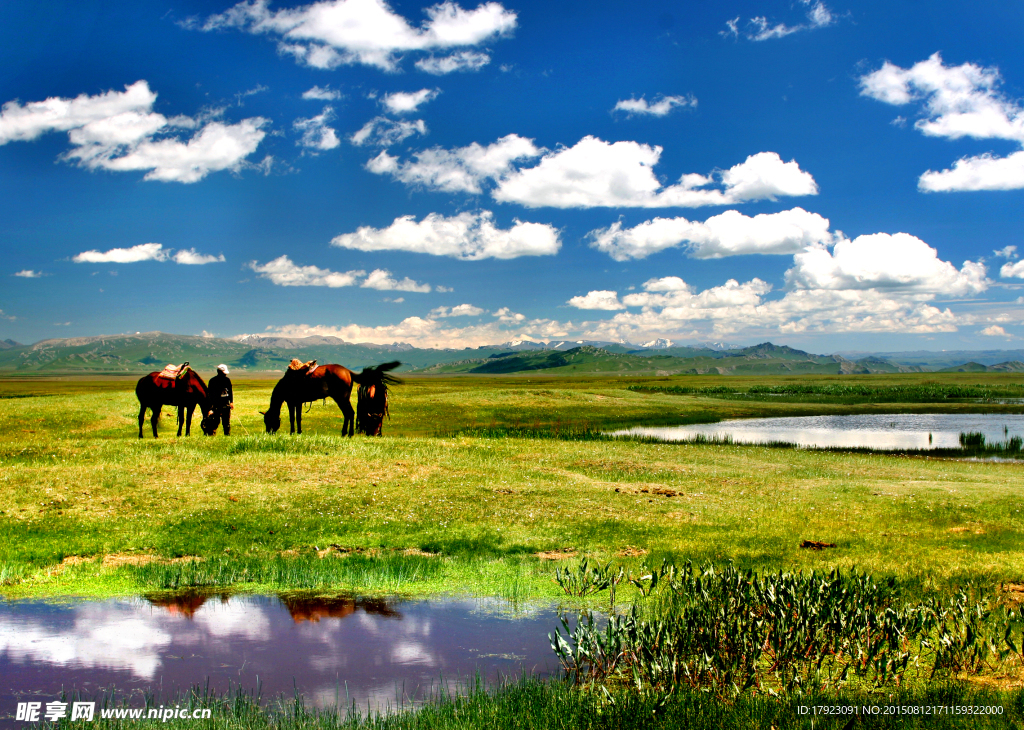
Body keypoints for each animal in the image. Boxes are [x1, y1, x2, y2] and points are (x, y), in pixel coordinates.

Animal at [260, 362, 399, 436]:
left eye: (268, 420)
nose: (269, 433)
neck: (286, 383)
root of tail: (348, 372)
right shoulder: (298, 403)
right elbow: (298, 418)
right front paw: (299, 432)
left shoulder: (291, 402)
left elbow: (293, 418)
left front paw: (293, 432)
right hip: (344, 398)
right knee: (348, 414)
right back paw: (345, 433)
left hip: (341, 398)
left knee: (349, 413)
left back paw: (348, 433)